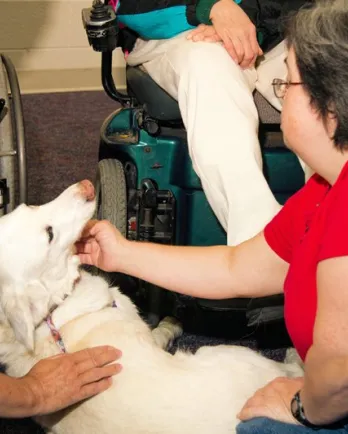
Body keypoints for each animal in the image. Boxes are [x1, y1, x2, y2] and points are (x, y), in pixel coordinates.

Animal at [0, 181, 304, 434]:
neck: (57, 308)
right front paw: (171, 322)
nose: (86, 186)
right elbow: (161, 331)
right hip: (230, 354)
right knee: (294, 370)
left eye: (29, 206)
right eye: (49, 234)